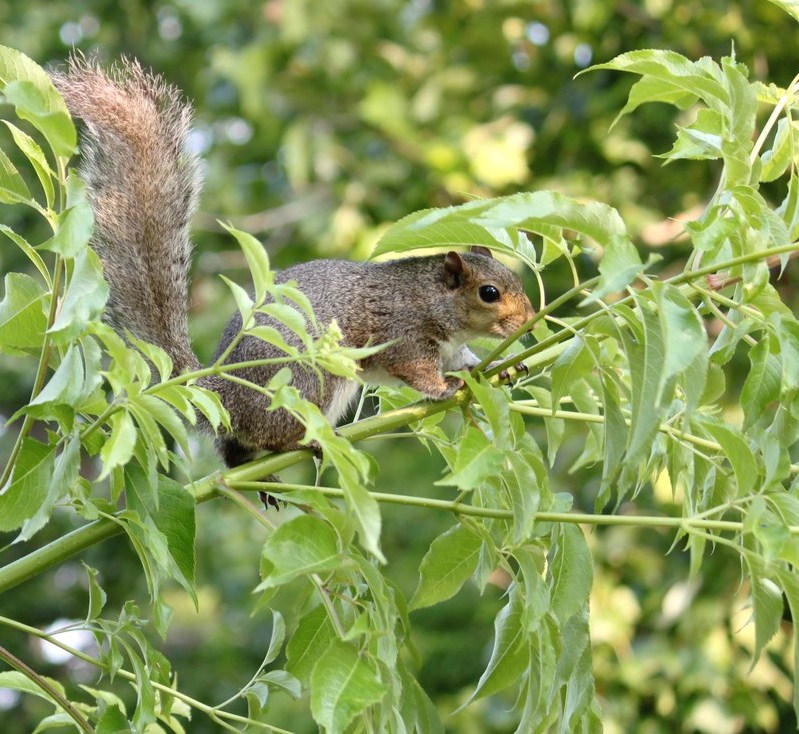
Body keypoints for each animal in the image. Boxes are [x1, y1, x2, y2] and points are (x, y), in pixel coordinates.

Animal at [51, 60, 536, 468]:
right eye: (489, 293)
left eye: (515, 278)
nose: (529, 321)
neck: (430, 295)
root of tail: (225, 397)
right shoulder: (405, 333)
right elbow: (418, 371)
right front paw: (446, 388)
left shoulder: (450, 347)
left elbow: (466, 360)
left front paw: (501, 366)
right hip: (309, 381)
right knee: (272, 433)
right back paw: (303, 443)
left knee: (235, 448)